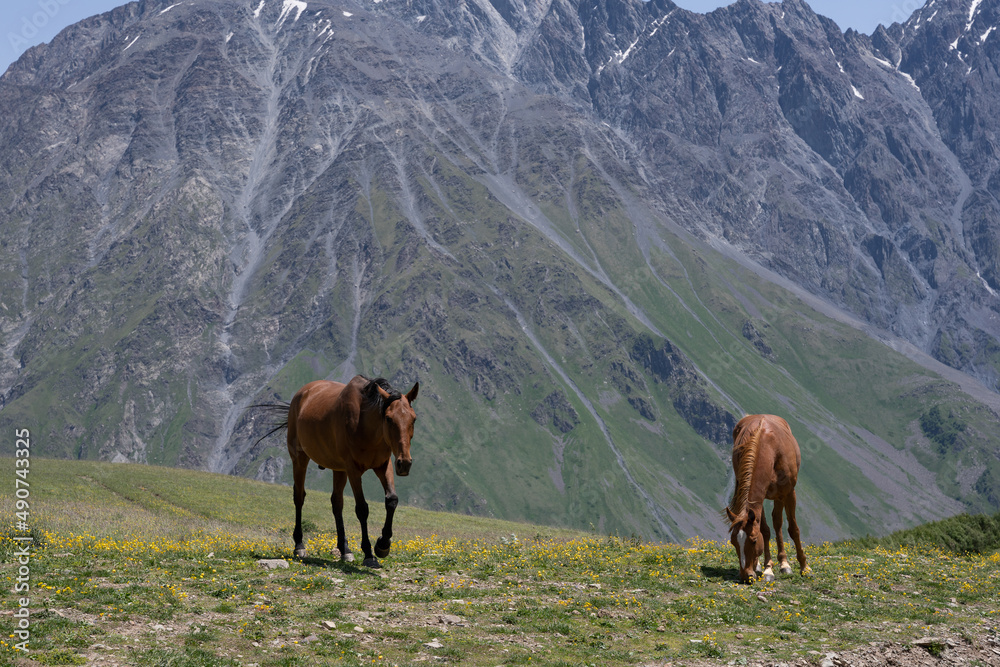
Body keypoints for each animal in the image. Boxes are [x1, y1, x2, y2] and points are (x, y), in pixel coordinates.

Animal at [254, 375, 418, 568]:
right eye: (388, 418)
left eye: (413, 419)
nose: (404, 463)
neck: (365, 426)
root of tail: (301, 394)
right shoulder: (353, 469)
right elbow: (362, 509)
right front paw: (369, 554)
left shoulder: (383, 465)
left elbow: (391, 500)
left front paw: (382, 545)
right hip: (300, 459)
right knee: (299, 497)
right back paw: (299, 545)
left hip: (339, 469)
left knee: (336, 502)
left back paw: (345, 549)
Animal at [723, 414, 811, 584]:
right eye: (733, 541)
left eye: (753, 540)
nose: (745, 576)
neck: (768, 448)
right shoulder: (759, 499)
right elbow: (765, 530)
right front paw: (768, 569)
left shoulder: (789, 492)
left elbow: (793, 529)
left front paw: (804, 567)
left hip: (780, 495)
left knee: (778, 522)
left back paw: (784, 564)